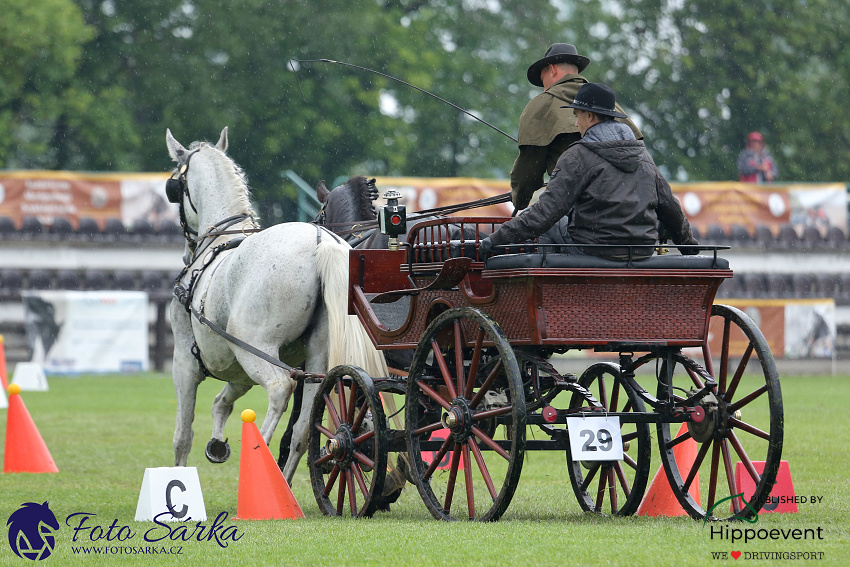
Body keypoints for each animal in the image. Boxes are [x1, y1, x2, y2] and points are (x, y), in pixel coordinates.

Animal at [163, 126, 388, 482]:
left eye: (174, 186)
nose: (187, 252)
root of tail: (322, 243)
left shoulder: (184, 362)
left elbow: (182, 435)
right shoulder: (238, 367)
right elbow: (222, 402)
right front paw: (217, 443)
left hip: (257, 346)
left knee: (279, 389)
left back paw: (261, 455)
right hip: (316, 361)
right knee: (303, 429)